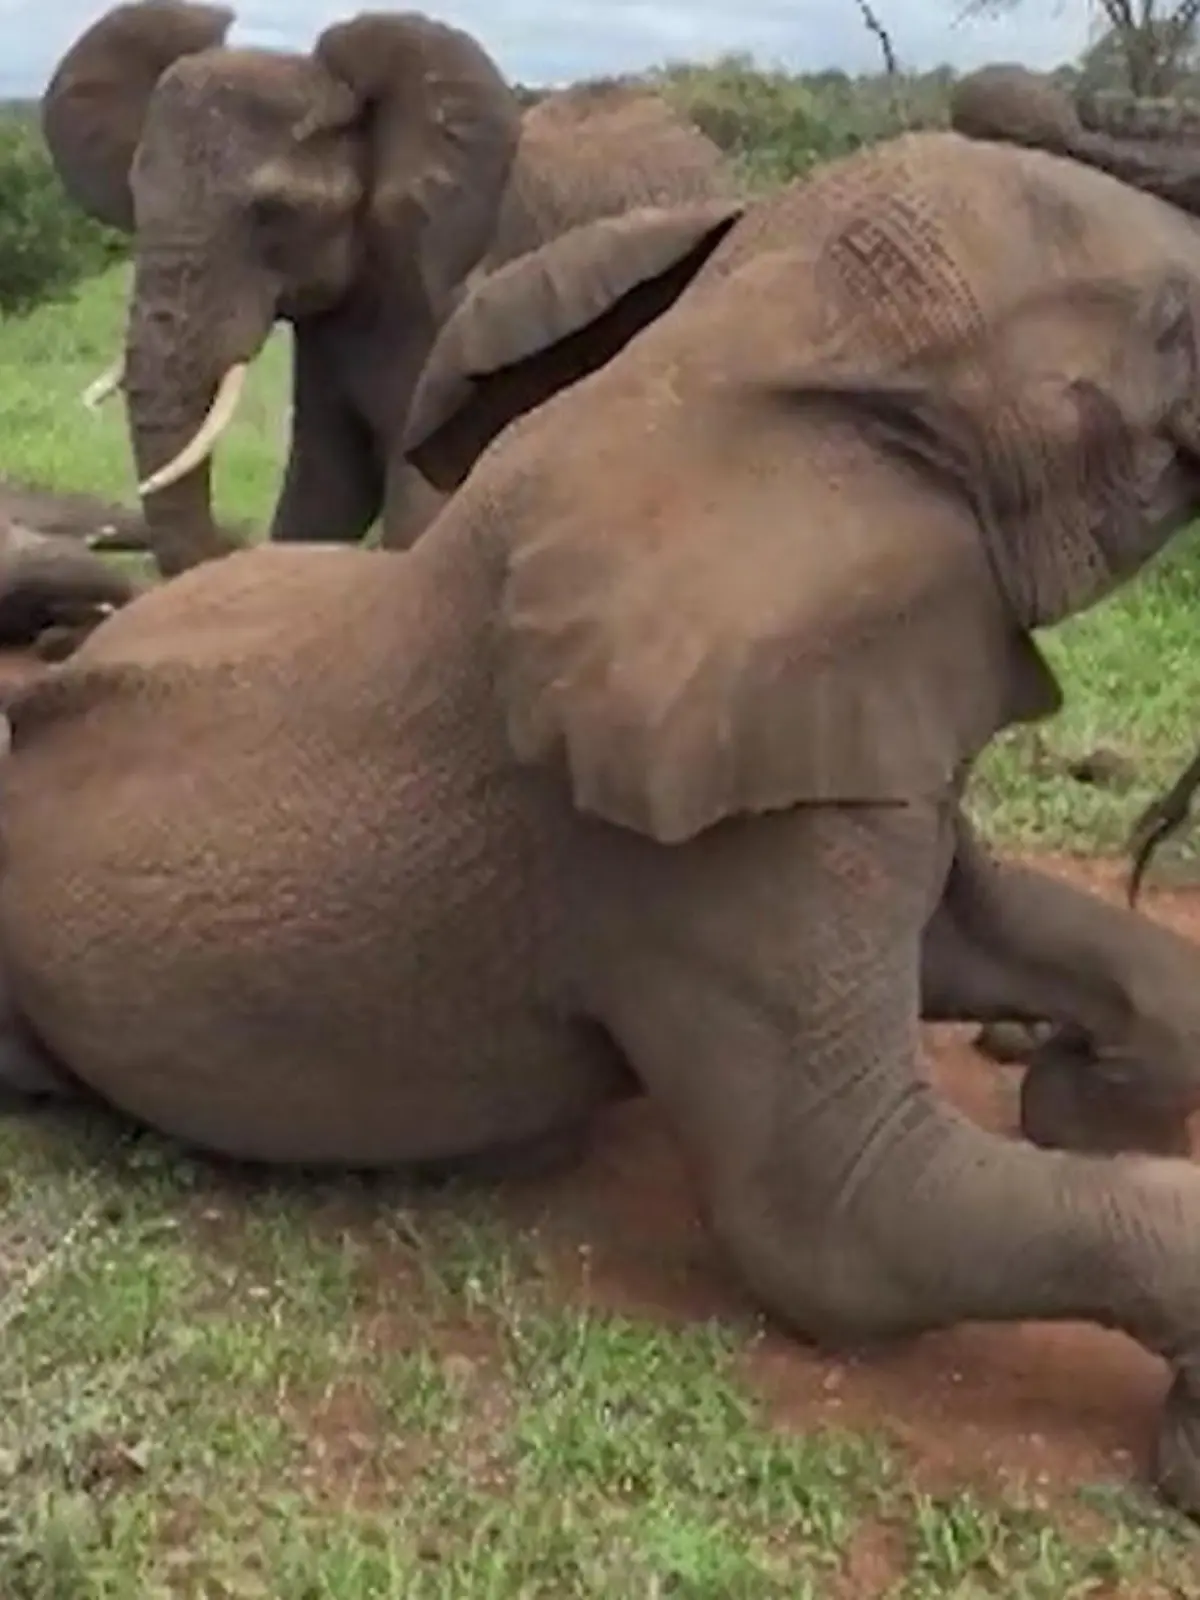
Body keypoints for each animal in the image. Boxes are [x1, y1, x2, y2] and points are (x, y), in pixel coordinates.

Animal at [9, 128, 1200, 1512]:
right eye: (1172, 328)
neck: (750, 351)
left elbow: (992, 940)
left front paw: (1080, 1098)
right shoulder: (659, 839)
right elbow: (839, 1222)